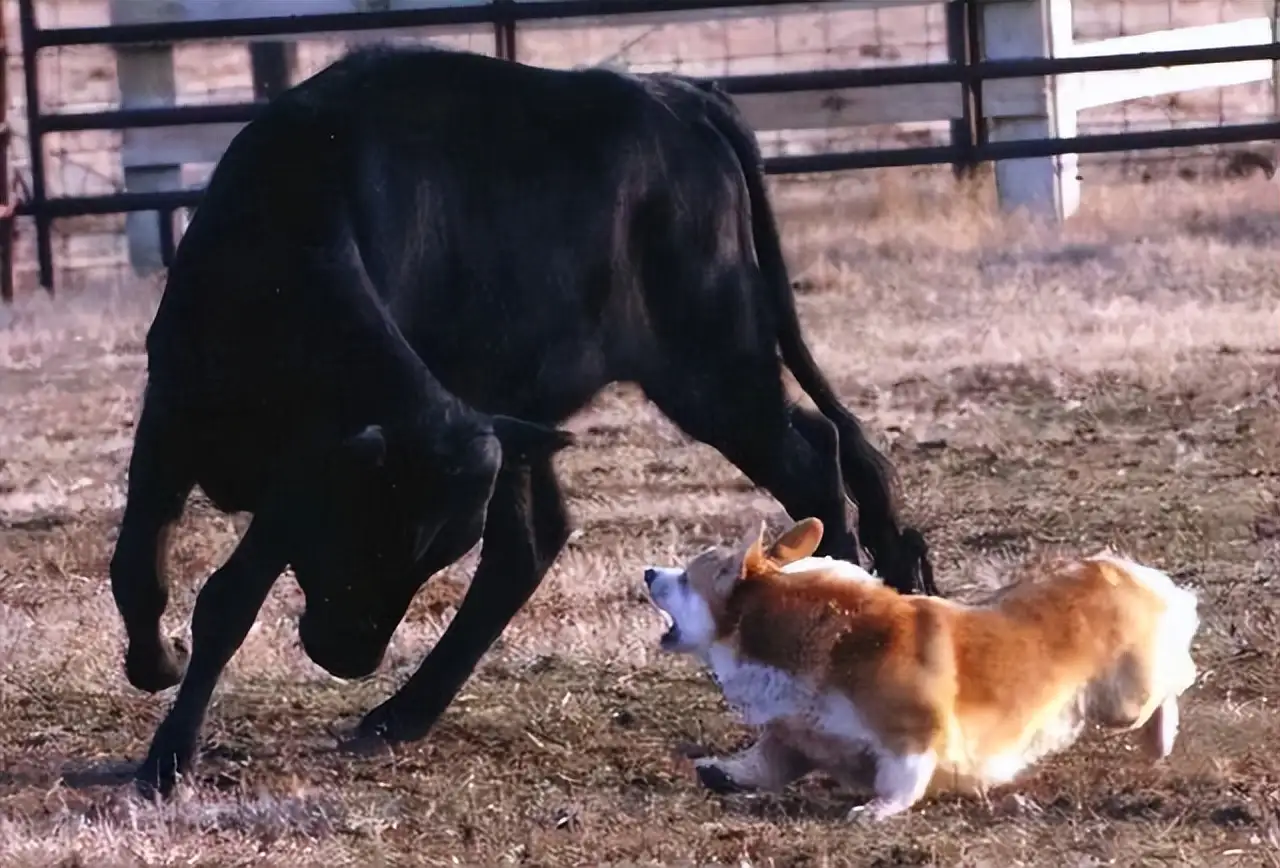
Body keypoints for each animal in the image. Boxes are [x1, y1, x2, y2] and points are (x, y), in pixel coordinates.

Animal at [650, 519, 1198, 819]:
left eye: (688, 578)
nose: (649, 572)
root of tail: (1117, 569)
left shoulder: (913, 738)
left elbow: (901, 781)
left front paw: (874, 812)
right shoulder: (798, 735)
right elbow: (764, 760)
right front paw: (723, 771)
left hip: (1126, 700)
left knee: (1172, 679)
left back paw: (1163, 737)